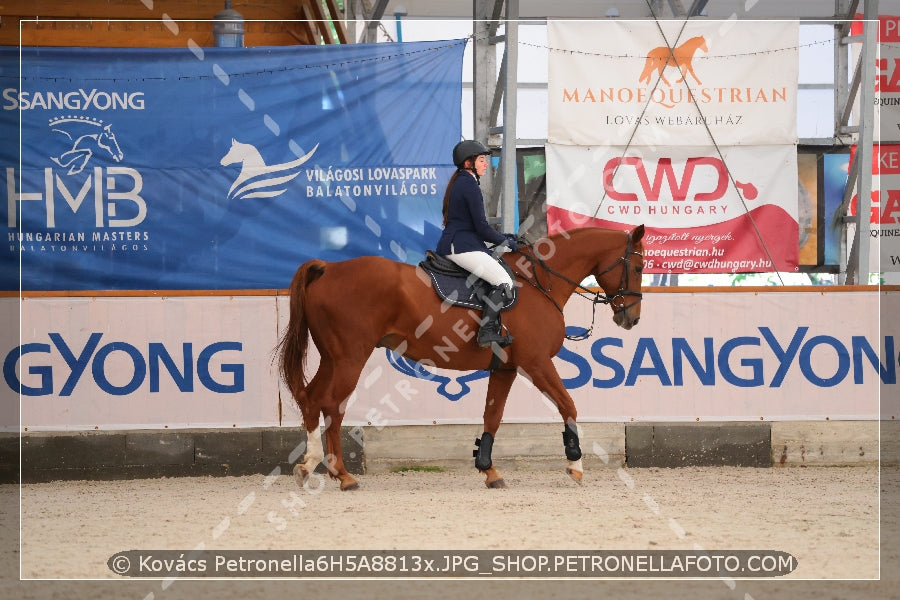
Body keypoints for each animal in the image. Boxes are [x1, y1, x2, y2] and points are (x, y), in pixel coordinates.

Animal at [278, 224, 644, 488]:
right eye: (640, 266)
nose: (631, 318)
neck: (540, 283)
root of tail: (328, 268)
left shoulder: (506, 368)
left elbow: (492, 417)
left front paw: (489, 470)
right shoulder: (536, 364)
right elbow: (568, 405)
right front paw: (575, 464)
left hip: (333, 357)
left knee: (311, 398)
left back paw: (309, 465)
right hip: (351, 358)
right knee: (332, 405)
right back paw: (343, 476)